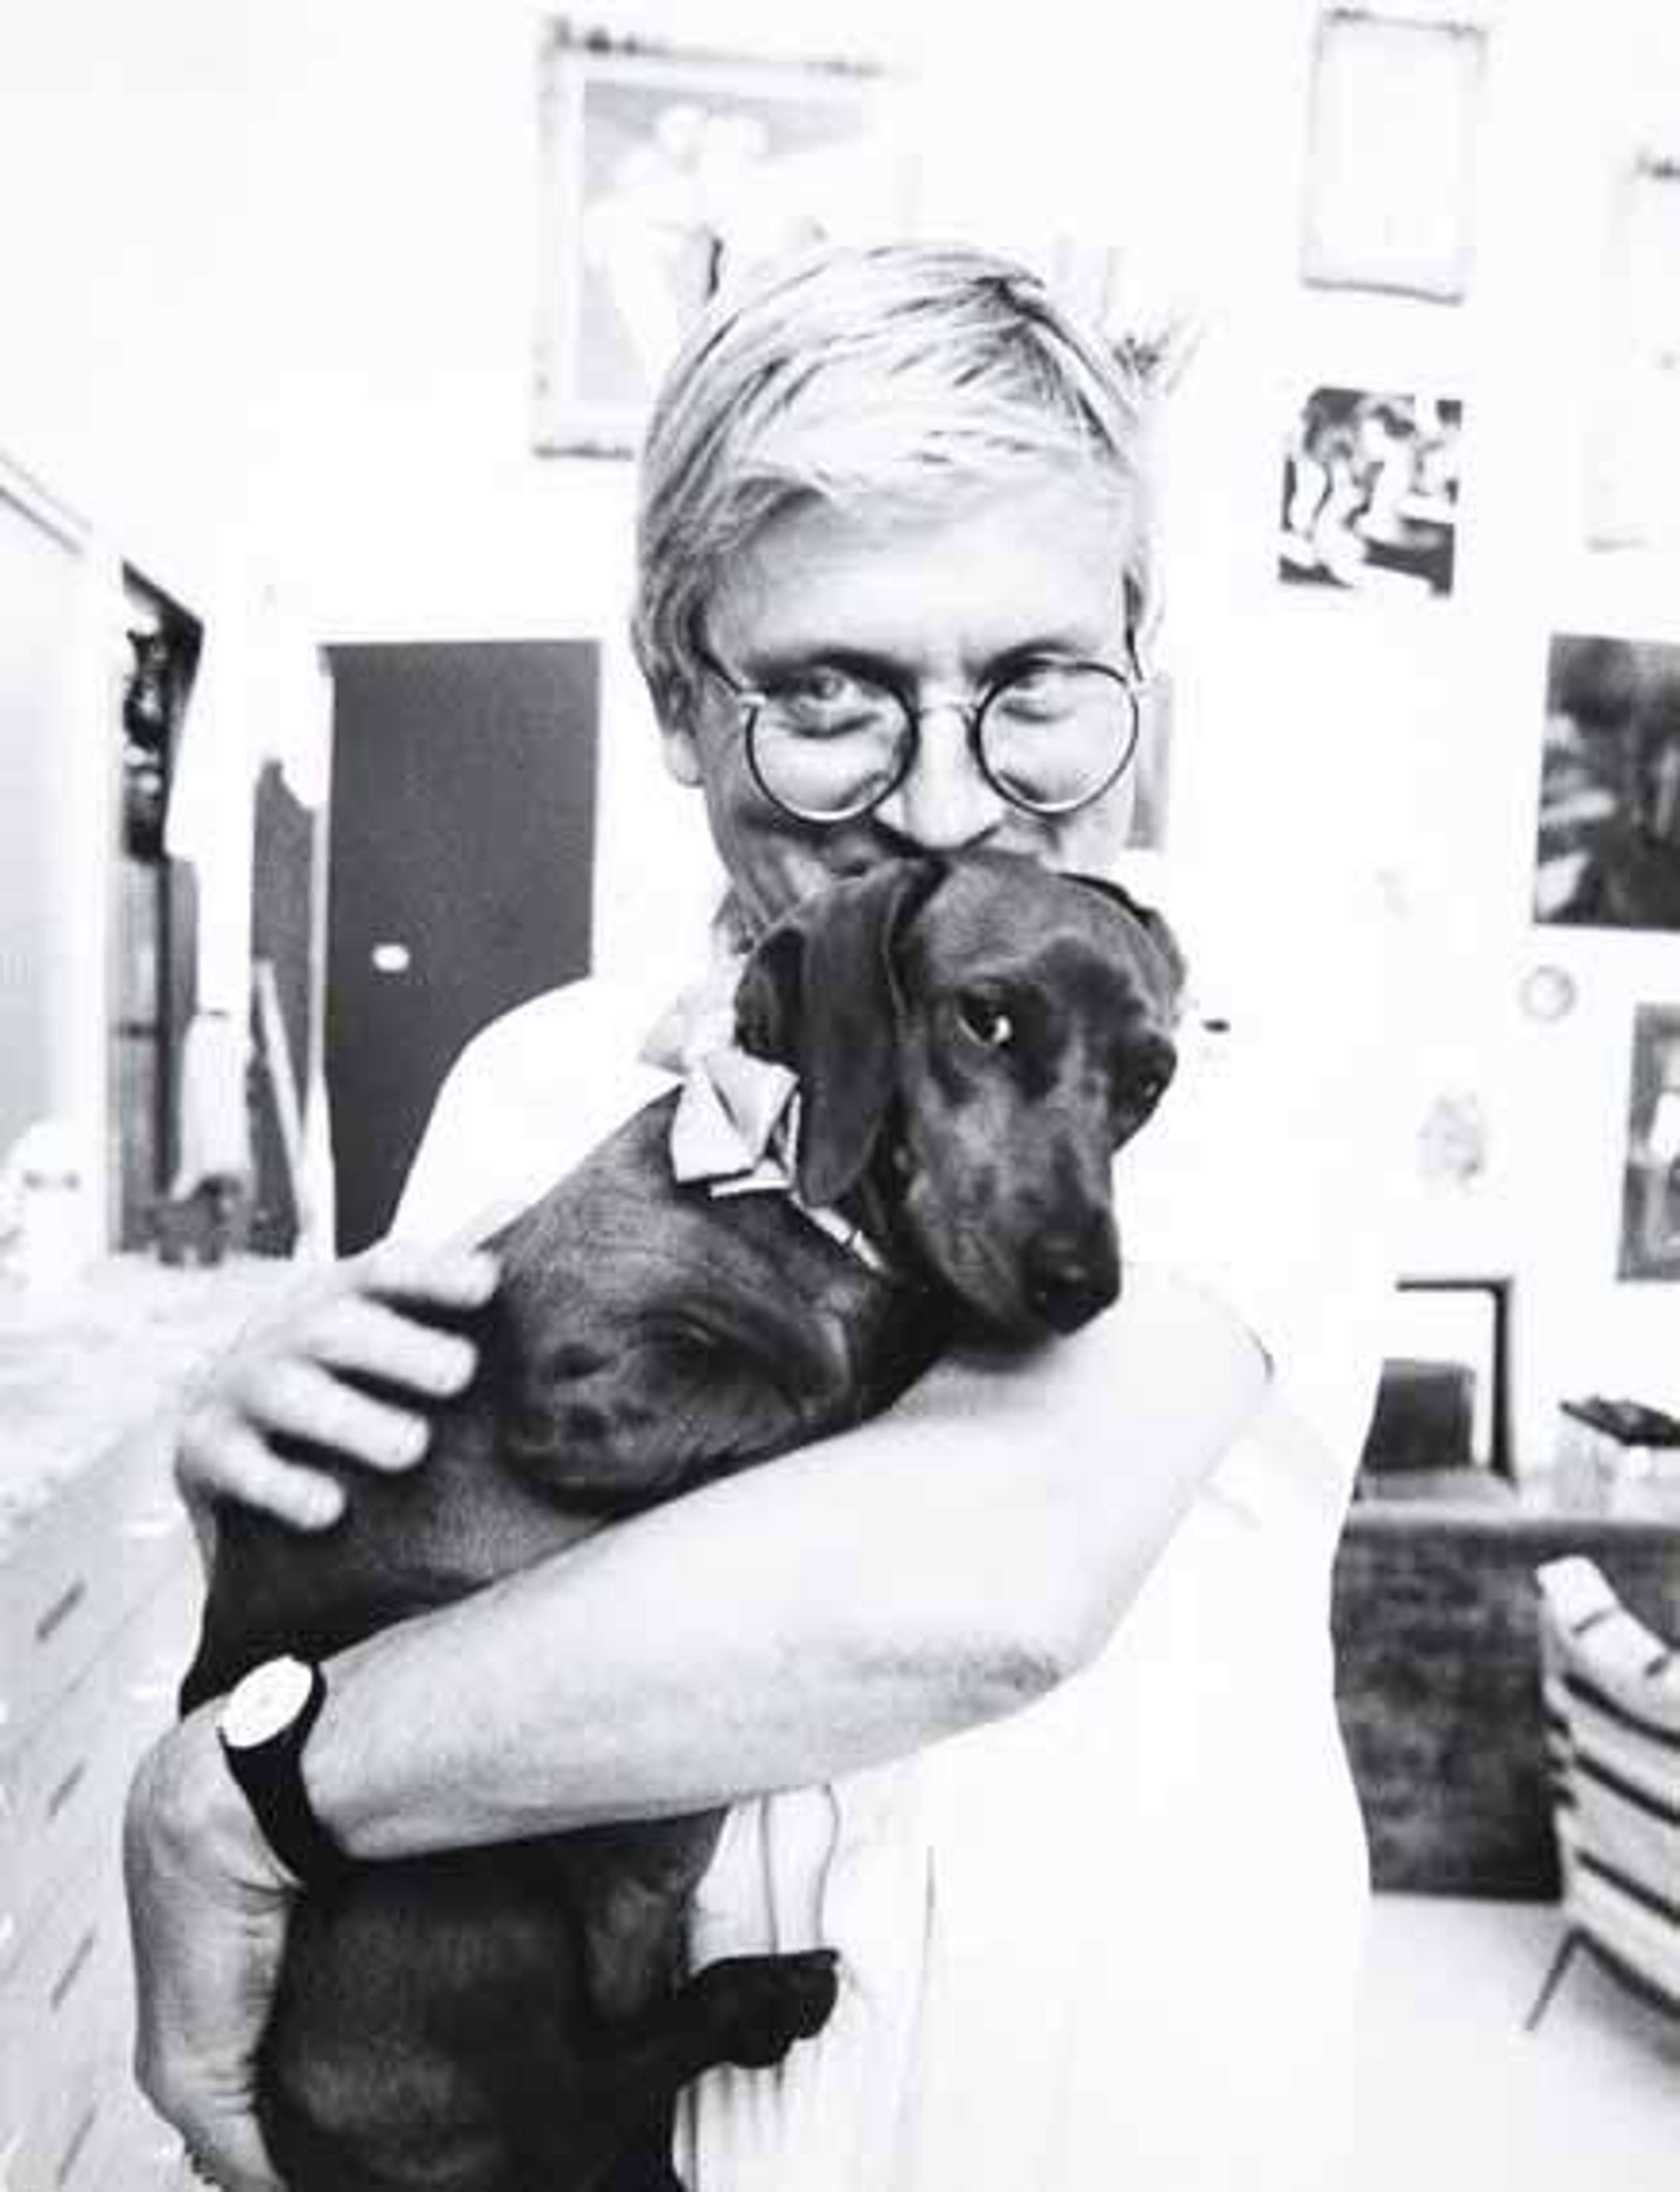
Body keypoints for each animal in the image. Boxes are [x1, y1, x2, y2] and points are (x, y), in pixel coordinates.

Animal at [181, 850, 1183, 2192]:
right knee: (575, 2091)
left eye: (1150, 1079)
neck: (798, 1203)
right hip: (474, 1872)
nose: (1083, 1283)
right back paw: (753, 1999)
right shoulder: (580, 1388)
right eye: (988, 1016)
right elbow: (810, 1383)